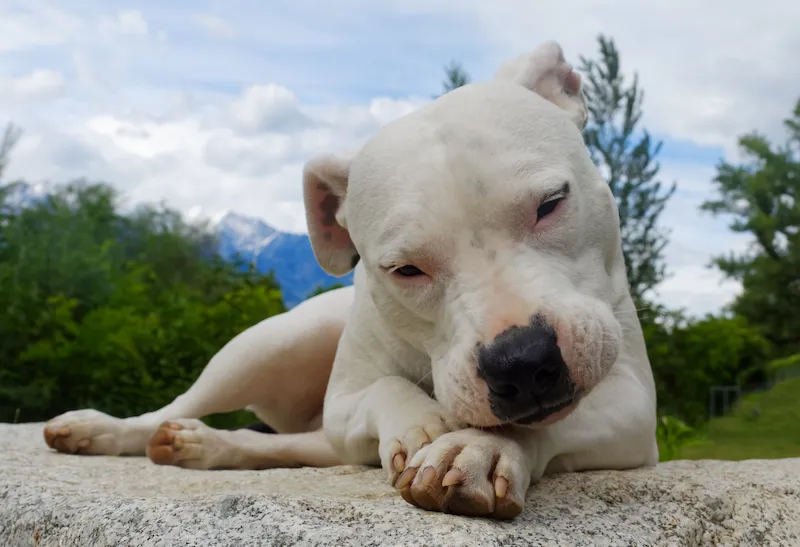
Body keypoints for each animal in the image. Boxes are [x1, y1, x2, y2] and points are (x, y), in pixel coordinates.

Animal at [42, 40, 656, 520]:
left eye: (551, 204)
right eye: (405, 269)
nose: (523, 361)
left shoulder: (632, 409)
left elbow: (539, 424)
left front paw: (475, 449)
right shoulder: (343, 403)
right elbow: (385, 388)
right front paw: (425, 423)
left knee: (294, 446)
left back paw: (206, 446)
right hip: (270, 343)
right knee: (179, 404)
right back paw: (102, 431)